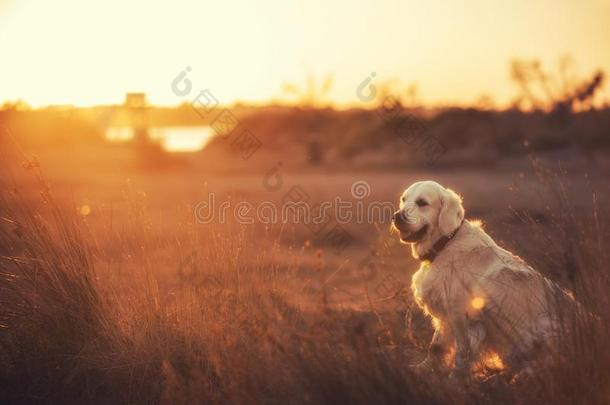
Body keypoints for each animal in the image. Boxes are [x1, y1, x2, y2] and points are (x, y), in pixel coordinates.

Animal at [390, 181, 568, 378]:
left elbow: (462, 353)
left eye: (422, 203)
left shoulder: (461, 315)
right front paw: (422, 369)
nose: (396, 217)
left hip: (544, 329)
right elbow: (435, 346)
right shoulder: (446, 315)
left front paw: (455, 379)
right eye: (403, 199)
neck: (445, 244)